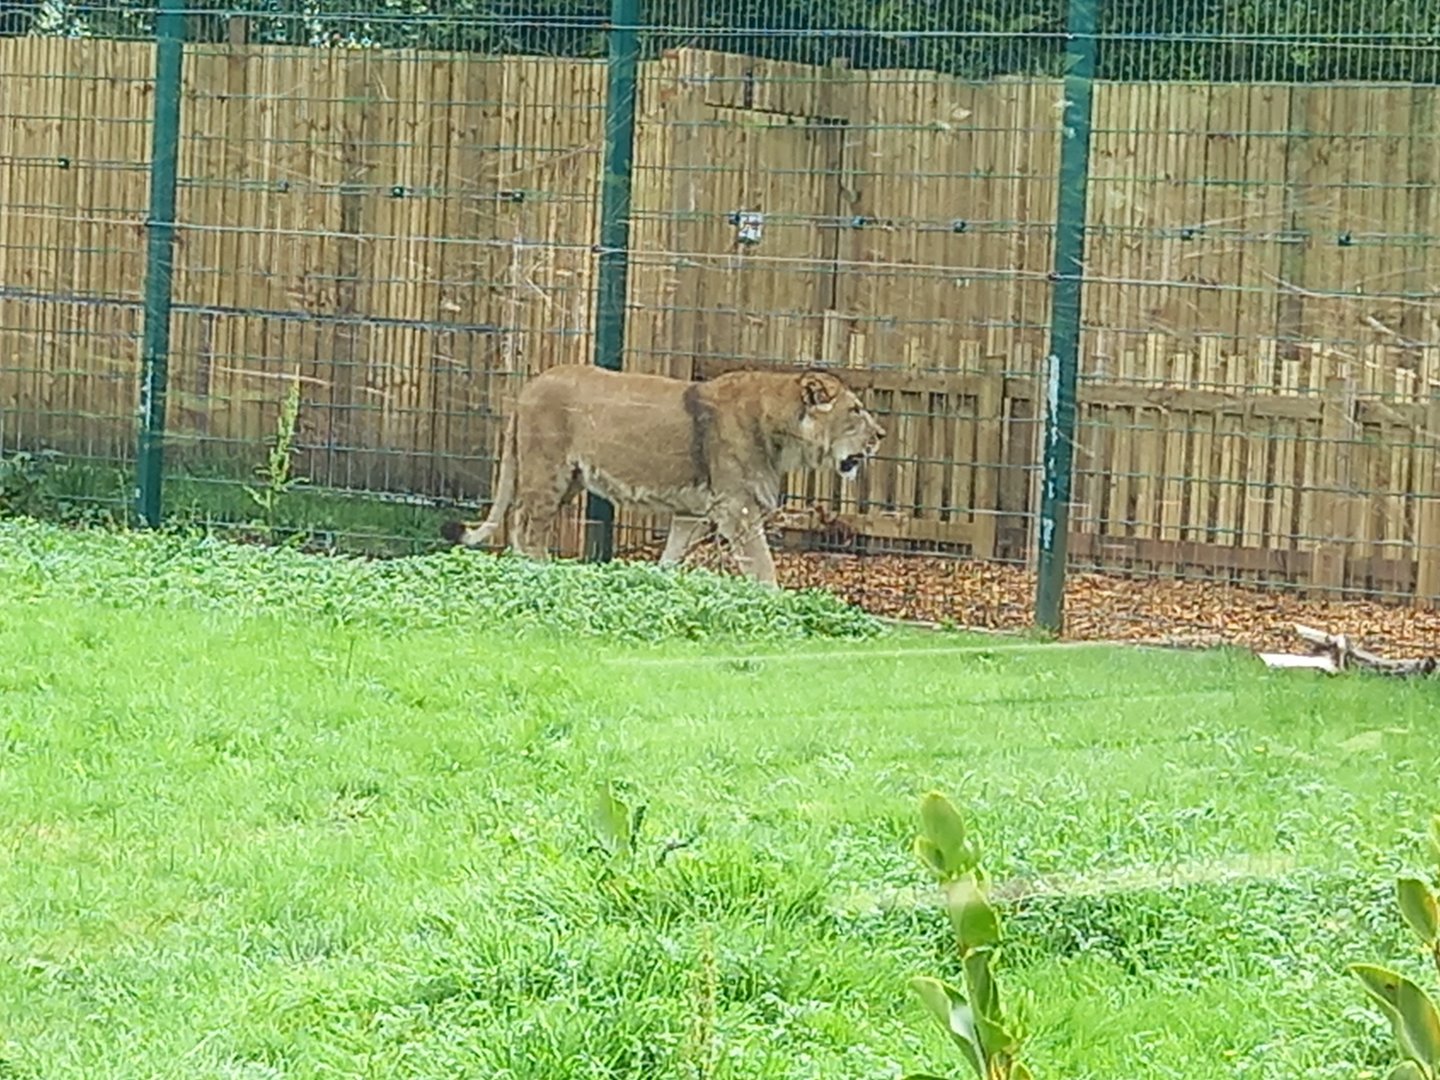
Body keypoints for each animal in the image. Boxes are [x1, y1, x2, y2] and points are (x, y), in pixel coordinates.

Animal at [439, 363, 885, 587]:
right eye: (855, 410)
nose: (880, 435)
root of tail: (527, 389)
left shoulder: (694, 511)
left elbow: (670, 557)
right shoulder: (737, 510)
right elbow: (763, 567)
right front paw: (776, 604)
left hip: (568, 481)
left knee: (520, 526)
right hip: (547, 474)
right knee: (527, 529)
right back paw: (541, 576)